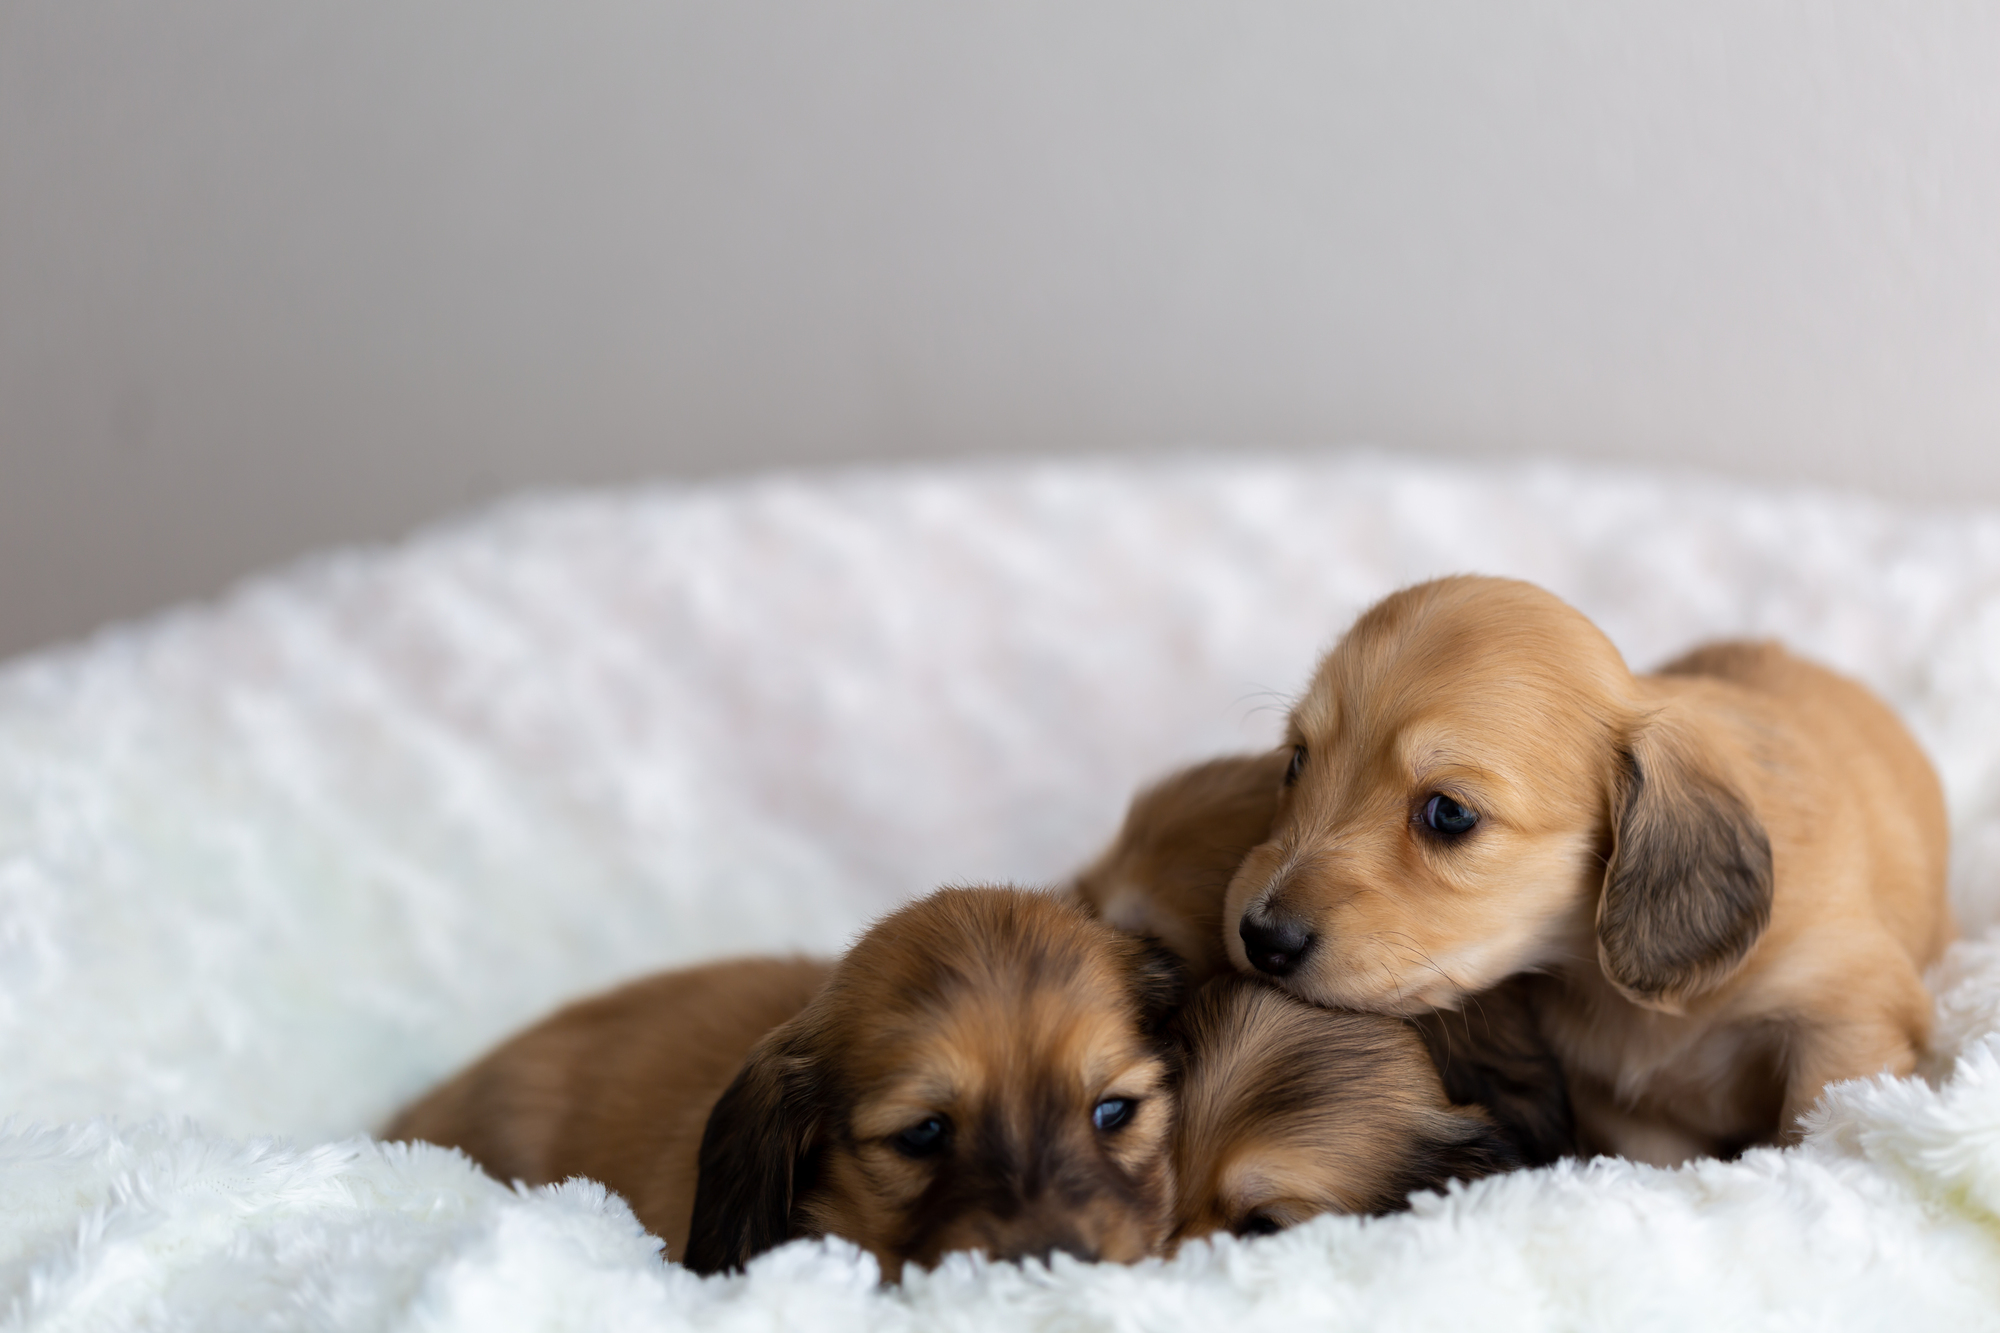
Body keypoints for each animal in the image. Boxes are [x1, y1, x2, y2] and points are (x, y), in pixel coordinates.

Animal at [1224, 576, 1960, 1160]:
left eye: (1449, 813)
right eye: (1297, 760)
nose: (1260, 936)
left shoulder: (1847, 1016)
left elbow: (1816, 1124)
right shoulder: (1618, 1105)